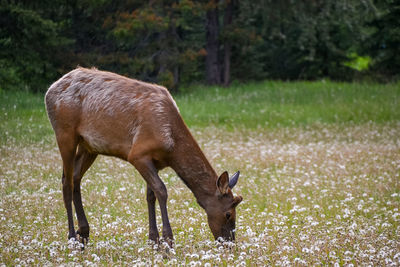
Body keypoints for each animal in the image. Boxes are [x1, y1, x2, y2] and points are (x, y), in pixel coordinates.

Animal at [45, 68, 242, 248]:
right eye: (228, 213)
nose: (229, 243)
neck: (171, 147)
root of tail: (50, 90)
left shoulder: (156, 161)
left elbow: (151, 195)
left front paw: (153, 240)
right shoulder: (137, 154)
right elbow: (162, 190)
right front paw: (167, 241)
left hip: (89, 146)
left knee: (76, 177)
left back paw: (84, 233)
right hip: (65, 133)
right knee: (67, 181)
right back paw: (72, 236)